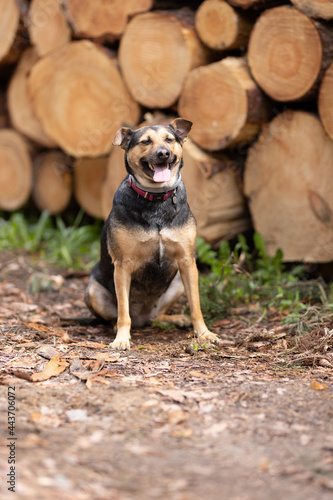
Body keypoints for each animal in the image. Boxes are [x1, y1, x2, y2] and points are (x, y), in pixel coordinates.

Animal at [85, 118, 219, 350]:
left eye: (170, 139)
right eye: (145, 141)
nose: (163, 153)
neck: (156, 198)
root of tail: (143, 317)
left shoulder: (187, 262)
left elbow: (196, 306)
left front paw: (204, 334)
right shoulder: (122, 266)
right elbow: (123, 312)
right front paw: (121, 338)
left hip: (177, 283)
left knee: (158, 315)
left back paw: (176, 319)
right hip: (94, 292)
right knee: (116, 316)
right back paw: (117, 327)